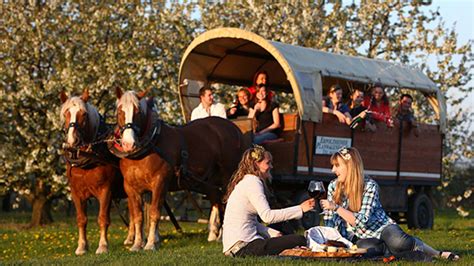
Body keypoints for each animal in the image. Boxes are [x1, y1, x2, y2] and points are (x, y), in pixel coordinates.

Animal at [59, 90, 134, 256]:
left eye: (84, 114)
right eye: (66, 113)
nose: (72, 141)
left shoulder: (106, 190)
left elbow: (102, 218)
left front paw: (103, 246)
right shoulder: (76, 192)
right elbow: (81, 219)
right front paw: (81, 247)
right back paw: (131, 238)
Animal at [112, 88, 244, 251]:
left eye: (138, 113)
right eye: (120, 111)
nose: (128, 144)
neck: (149, 145)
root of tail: (234, 128)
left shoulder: (160, 182)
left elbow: (154, 212)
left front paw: (150, 244)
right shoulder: (131, 187)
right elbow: (137, 216)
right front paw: (137, 244)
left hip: (228, 175)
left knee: (227, 201)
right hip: (210, 180)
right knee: (216, 199)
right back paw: (216, 235)